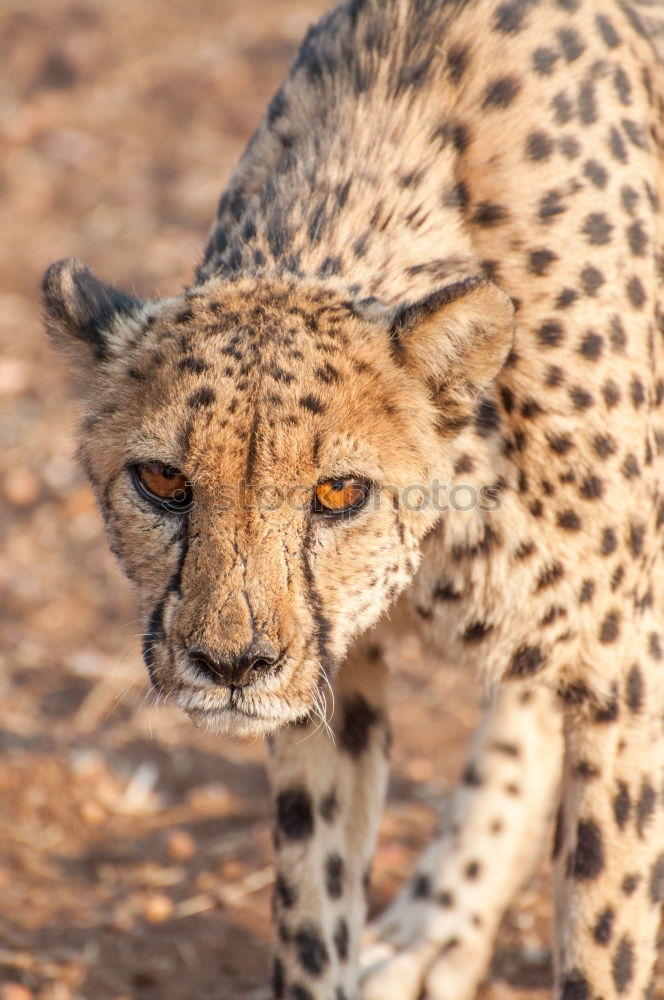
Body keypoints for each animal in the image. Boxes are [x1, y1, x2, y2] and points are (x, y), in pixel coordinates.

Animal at [42, 0, 664, 996]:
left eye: (340, 491)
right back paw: (435, 926)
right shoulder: (332, 666)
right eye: (163, 481)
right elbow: (313, 892)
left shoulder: (625, 666)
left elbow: (605, 927)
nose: (232, 664)